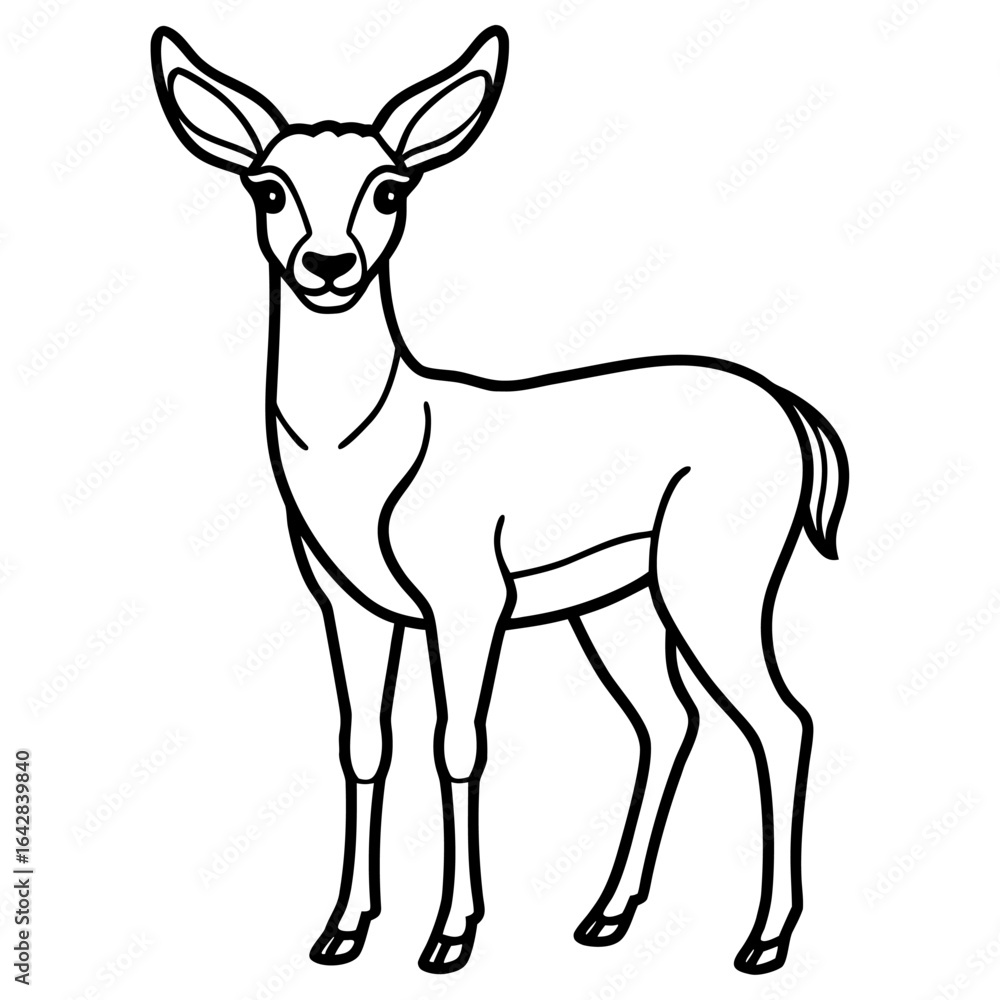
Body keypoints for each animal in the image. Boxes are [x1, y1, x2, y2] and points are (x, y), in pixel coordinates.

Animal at [151, 24, 848, 977]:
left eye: (389, 188)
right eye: (269, 187)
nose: (328, 266)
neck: (373, 448)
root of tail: (790, 406)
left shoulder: (468, 599)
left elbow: (458, 744)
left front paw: (449, 937)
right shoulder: (348, 604)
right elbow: (363, 744)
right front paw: (341, 932)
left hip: (715, 579)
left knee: (782, 720)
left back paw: (763, 942)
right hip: (618, 603)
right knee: (669, 721)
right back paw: (605, 918)